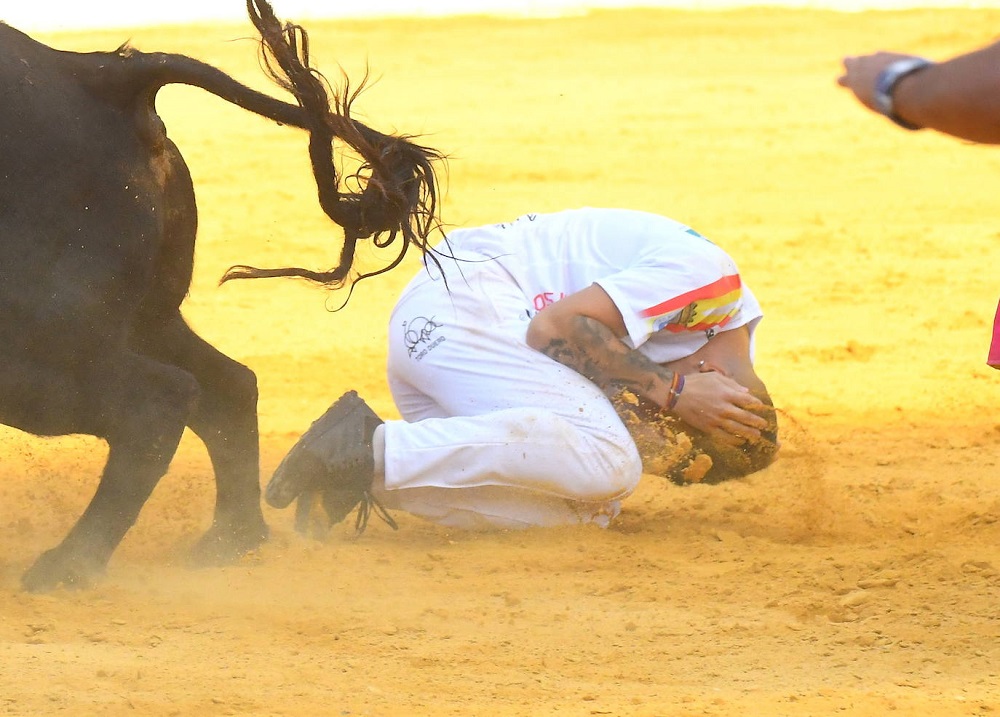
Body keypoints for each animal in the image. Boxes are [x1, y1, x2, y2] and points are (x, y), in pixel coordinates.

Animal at [0, 1, 442, 592]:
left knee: (158, 402)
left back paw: (69, 567)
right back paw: (230, 539)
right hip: (142, 319)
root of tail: (96, 74)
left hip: (37, 340)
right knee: (227, 386)